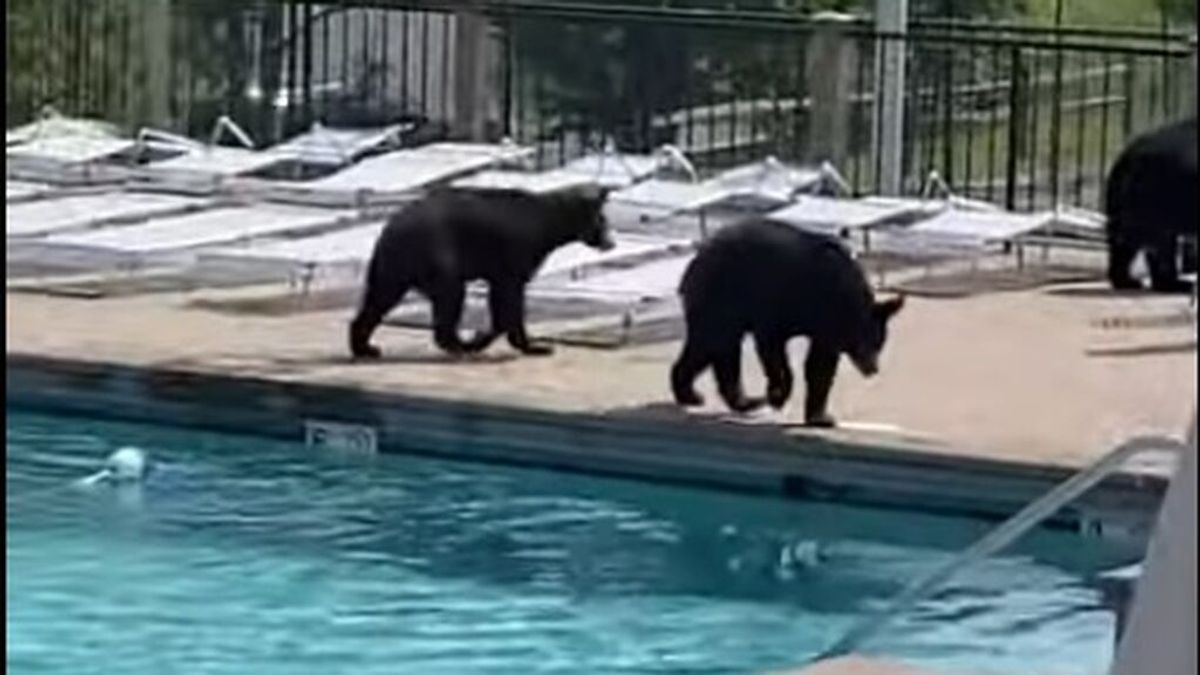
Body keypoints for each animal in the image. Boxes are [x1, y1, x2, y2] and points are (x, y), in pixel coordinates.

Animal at [345, 183, 609, 357]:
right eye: (603, 220)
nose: (610, 241)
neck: (549, 223)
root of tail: (390, 226)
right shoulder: (515, 254)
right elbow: (510, 298)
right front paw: (532, 345)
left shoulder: (501, 268)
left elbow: (501, 301)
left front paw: (491, 337)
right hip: (435, 254)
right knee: (450, 294)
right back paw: (460, 345)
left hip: (395, 264)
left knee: (379, 297)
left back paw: (365, 347)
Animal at [672, 220, 902, 425]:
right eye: (866, 340)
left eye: (880, 343)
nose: (873, 368)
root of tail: (699, 256)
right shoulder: (781, 303)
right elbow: (773, 348)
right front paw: (778, 394)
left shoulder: (825, 329)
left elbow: (820, 366)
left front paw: (820, 417)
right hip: (718, 296)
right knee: (710, 342)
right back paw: (694, 394)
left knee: (718, 350)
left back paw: (736, 400)